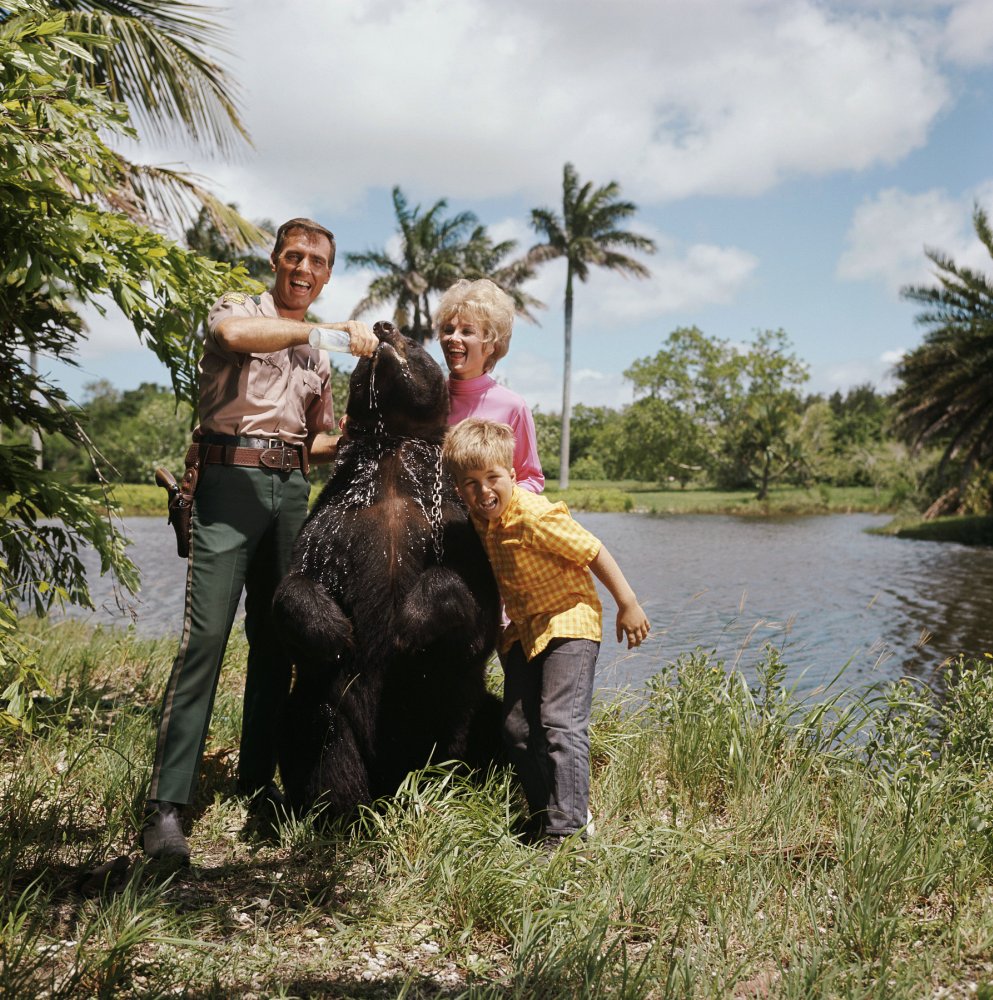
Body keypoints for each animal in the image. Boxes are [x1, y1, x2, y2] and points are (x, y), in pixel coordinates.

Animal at [274, 324, 500, 816]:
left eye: (416, 344)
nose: (383, 327)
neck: (392, 454)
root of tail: (389, 778)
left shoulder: (452, 520)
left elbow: (476, 605)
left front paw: (410, 625)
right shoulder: (335, 519)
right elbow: (296, 581)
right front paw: (335, 630)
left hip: (453, 711)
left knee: (473, 730)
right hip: (329, 704)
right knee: (320, 734)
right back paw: (340, 812)